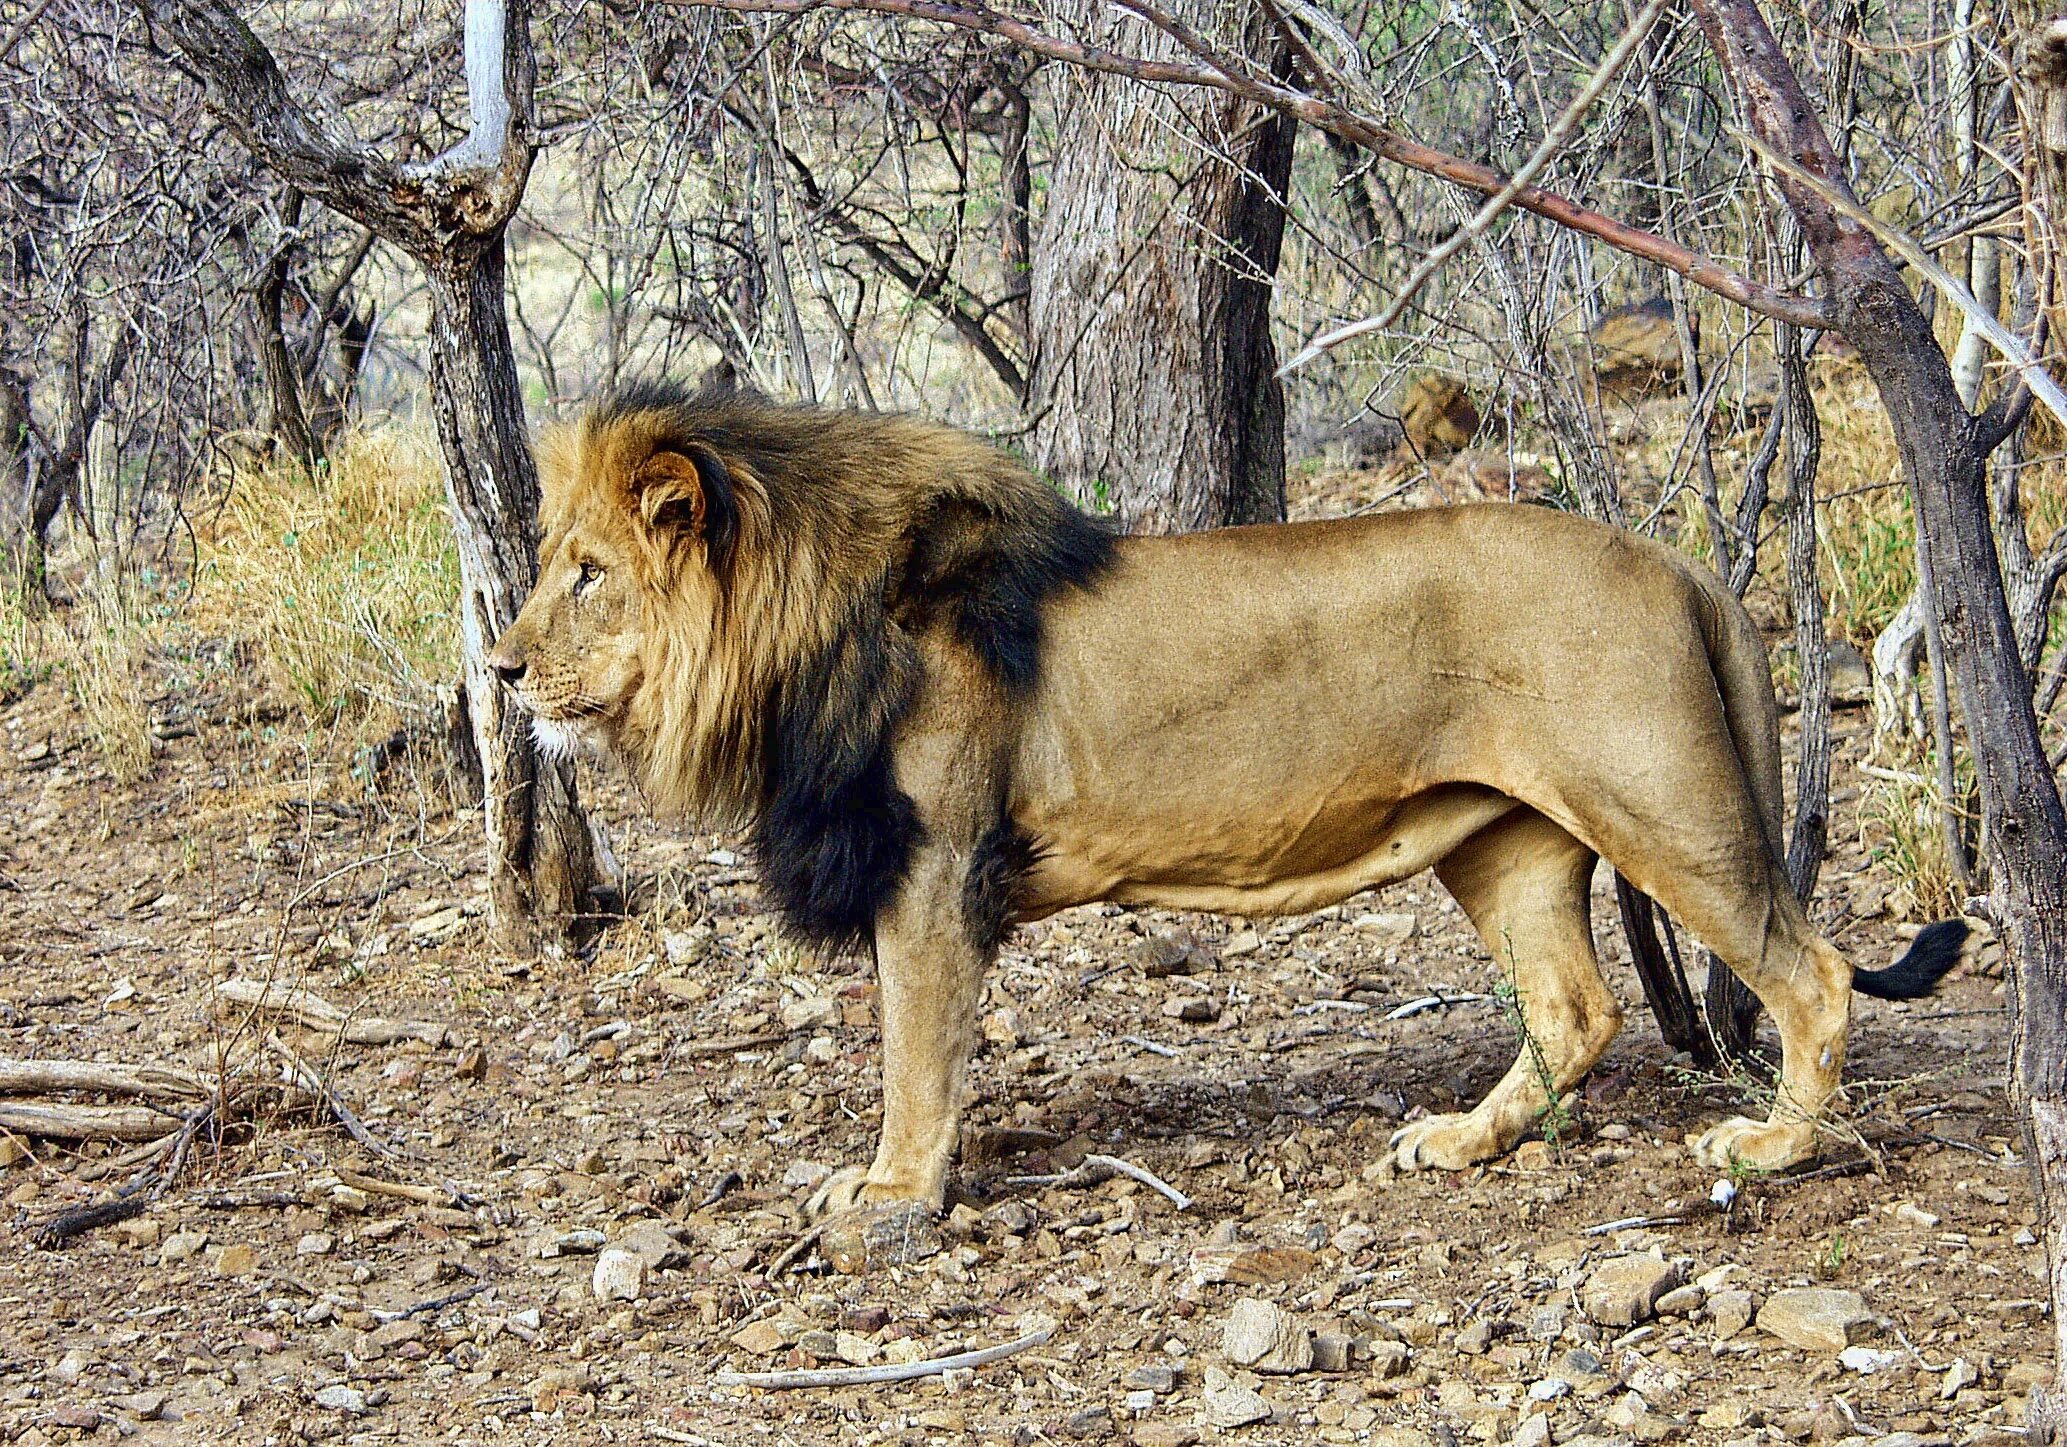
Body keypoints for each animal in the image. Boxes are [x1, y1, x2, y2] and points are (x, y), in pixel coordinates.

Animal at [491, 386, 1959, 1223]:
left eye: (584, 572)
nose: (499, 671)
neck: (797, 629)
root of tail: (1674, 558)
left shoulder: (933, 869)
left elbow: (914, 1052)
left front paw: (896, 1192)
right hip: (1506, 840)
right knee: (1572, 1005)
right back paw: (1457, 1143)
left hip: (1658, 804)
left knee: (1814, 970)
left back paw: (1773, 1148)